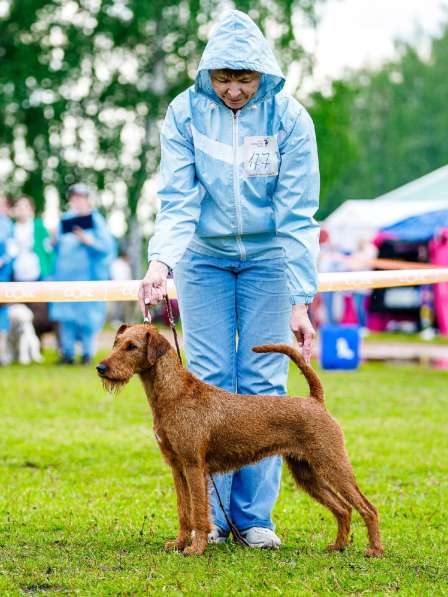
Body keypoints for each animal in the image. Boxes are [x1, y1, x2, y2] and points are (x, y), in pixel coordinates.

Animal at [96, 324, 384, 556]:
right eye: (116, 342)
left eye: (131, 346)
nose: (101, 367)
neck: (173, 394)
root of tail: (315, 400)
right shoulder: (176, 467)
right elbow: (183, 512)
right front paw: (178, 544)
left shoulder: (193, 466)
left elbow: (198, 512)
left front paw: (195, 549)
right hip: (306, 473)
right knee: (343, 508)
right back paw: (338, 546)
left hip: (333, 464)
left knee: (367, 507)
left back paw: (374, 550)